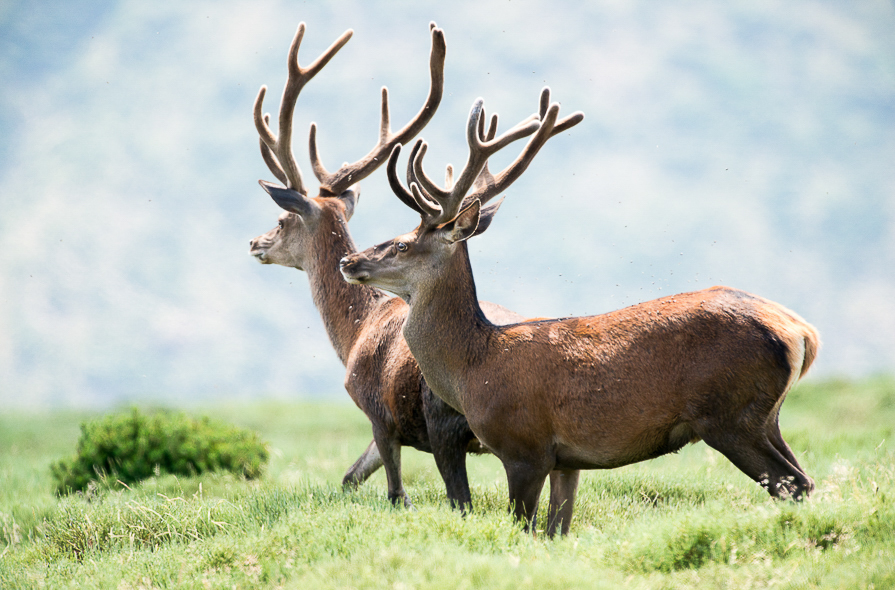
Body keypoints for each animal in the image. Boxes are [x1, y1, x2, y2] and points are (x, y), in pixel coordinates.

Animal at [247, 23, 576, 512]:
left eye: (283, 220)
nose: (256, 243)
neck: (355, 332)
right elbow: (349, 476)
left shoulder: (377, 411)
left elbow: (393, 491)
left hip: (445, 421)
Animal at [340, 96, 824, 536]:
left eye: (402, 243)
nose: (349, 260)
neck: (474, 368)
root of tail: (801, 332)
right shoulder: (566, 462)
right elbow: (558, 529)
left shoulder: (524, 447)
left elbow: (523, 528)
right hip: (766, 416)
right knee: (805, 480)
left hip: (729, 415)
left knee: (794, 484)